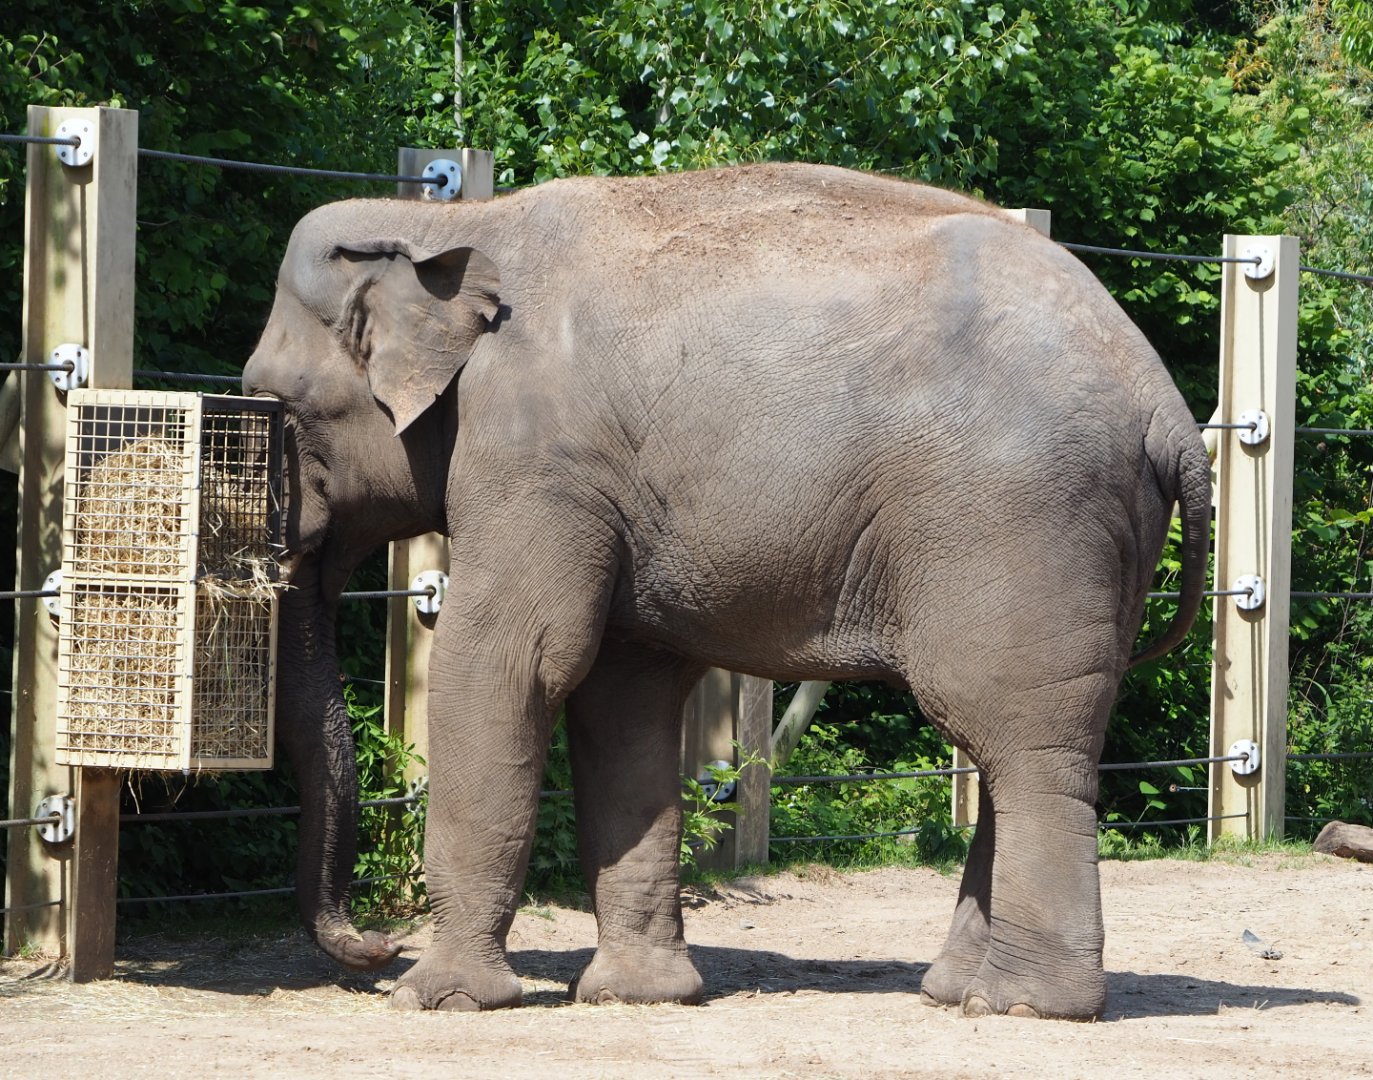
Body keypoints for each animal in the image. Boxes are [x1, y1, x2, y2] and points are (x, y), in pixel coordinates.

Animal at [242, 161, 1210, 1020]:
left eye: (273, 411)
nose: (375, 947)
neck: (450, 225)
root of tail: (1162, 401)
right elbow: (618, 696)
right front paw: (638, 996)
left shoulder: (537, 462)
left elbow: (510, 663)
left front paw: (434, 999)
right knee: (1013, 742)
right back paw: (953, 994)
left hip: (1023, 522)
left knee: (1019, 737)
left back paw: (1021, 1007)